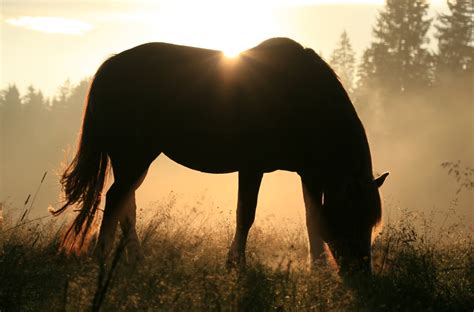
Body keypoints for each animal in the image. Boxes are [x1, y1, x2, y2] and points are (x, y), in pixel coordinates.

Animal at [54, 37, 388, 276]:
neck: (301, 97)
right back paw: (103, 258)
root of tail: (110, 67)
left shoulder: (309, 174)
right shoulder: (253, 167)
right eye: (352, 216)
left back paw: (136, 260)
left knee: (125, 205)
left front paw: (317, 269)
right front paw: (236, 265)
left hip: (133, 161)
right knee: (115, 201)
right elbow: (246, 215)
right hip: (135, 157)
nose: (361, 275)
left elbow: (312, 218)